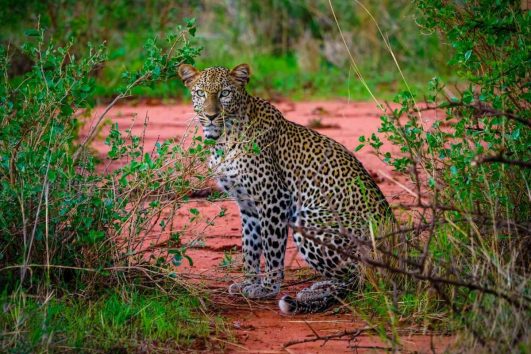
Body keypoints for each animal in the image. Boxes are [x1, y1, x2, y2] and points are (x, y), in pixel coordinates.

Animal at [179, 63, 394, 312]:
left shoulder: (274, 198)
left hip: (310, 220)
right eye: (200, 93)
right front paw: (248, 282)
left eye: (225, 93)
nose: (211, 116)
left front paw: (267, 288)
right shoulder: (248, 205)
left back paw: (316, 292)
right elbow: (250, 246)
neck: (224, 139)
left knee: (360, 277)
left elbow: (271, 246)